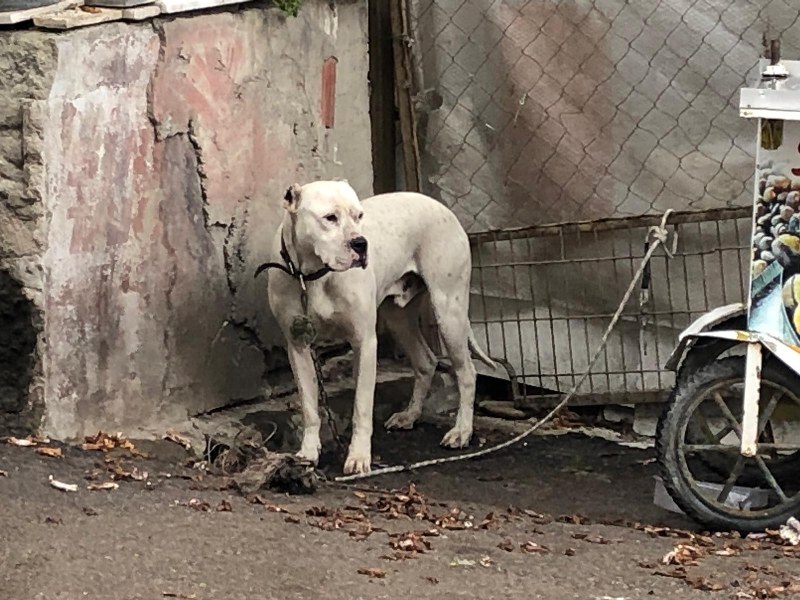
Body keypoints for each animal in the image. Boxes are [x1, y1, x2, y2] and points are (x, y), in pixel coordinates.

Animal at [264, 179, 494, 474]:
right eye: (330, 217)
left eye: (359, 216)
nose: (361, 243)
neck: (312, 275)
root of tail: (441, 207)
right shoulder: (297, 346)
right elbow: (309, 407)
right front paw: (308, 451)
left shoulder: (364, 342)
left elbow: (362, 406)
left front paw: (359, 456)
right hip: (399, 318)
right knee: (426, 361)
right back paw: (410, 415)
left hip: (449, 312)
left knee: (467, 372)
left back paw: (461, 431)